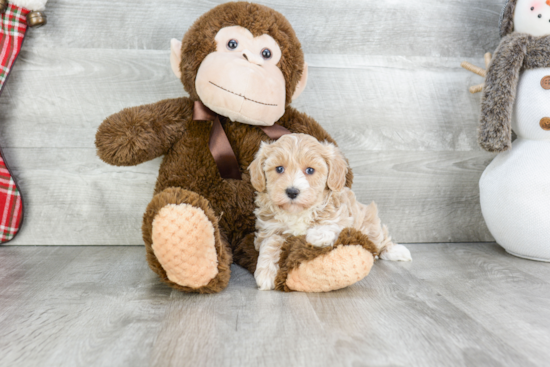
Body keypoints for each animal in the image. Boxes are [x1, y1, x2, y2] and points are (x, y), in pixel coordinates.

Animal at [248, 134, 412, 292]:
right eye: (279, 169)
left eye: (310, 170)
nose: (292, 192)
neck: (299, 211)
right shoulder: (269, 229)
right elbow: (270, 243)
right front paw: (266, 273)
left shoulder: (342, 214)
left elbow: (332, 224)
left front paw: (316, 235)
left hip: (369, 221)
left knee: (380, 239)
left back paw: (396, 250)